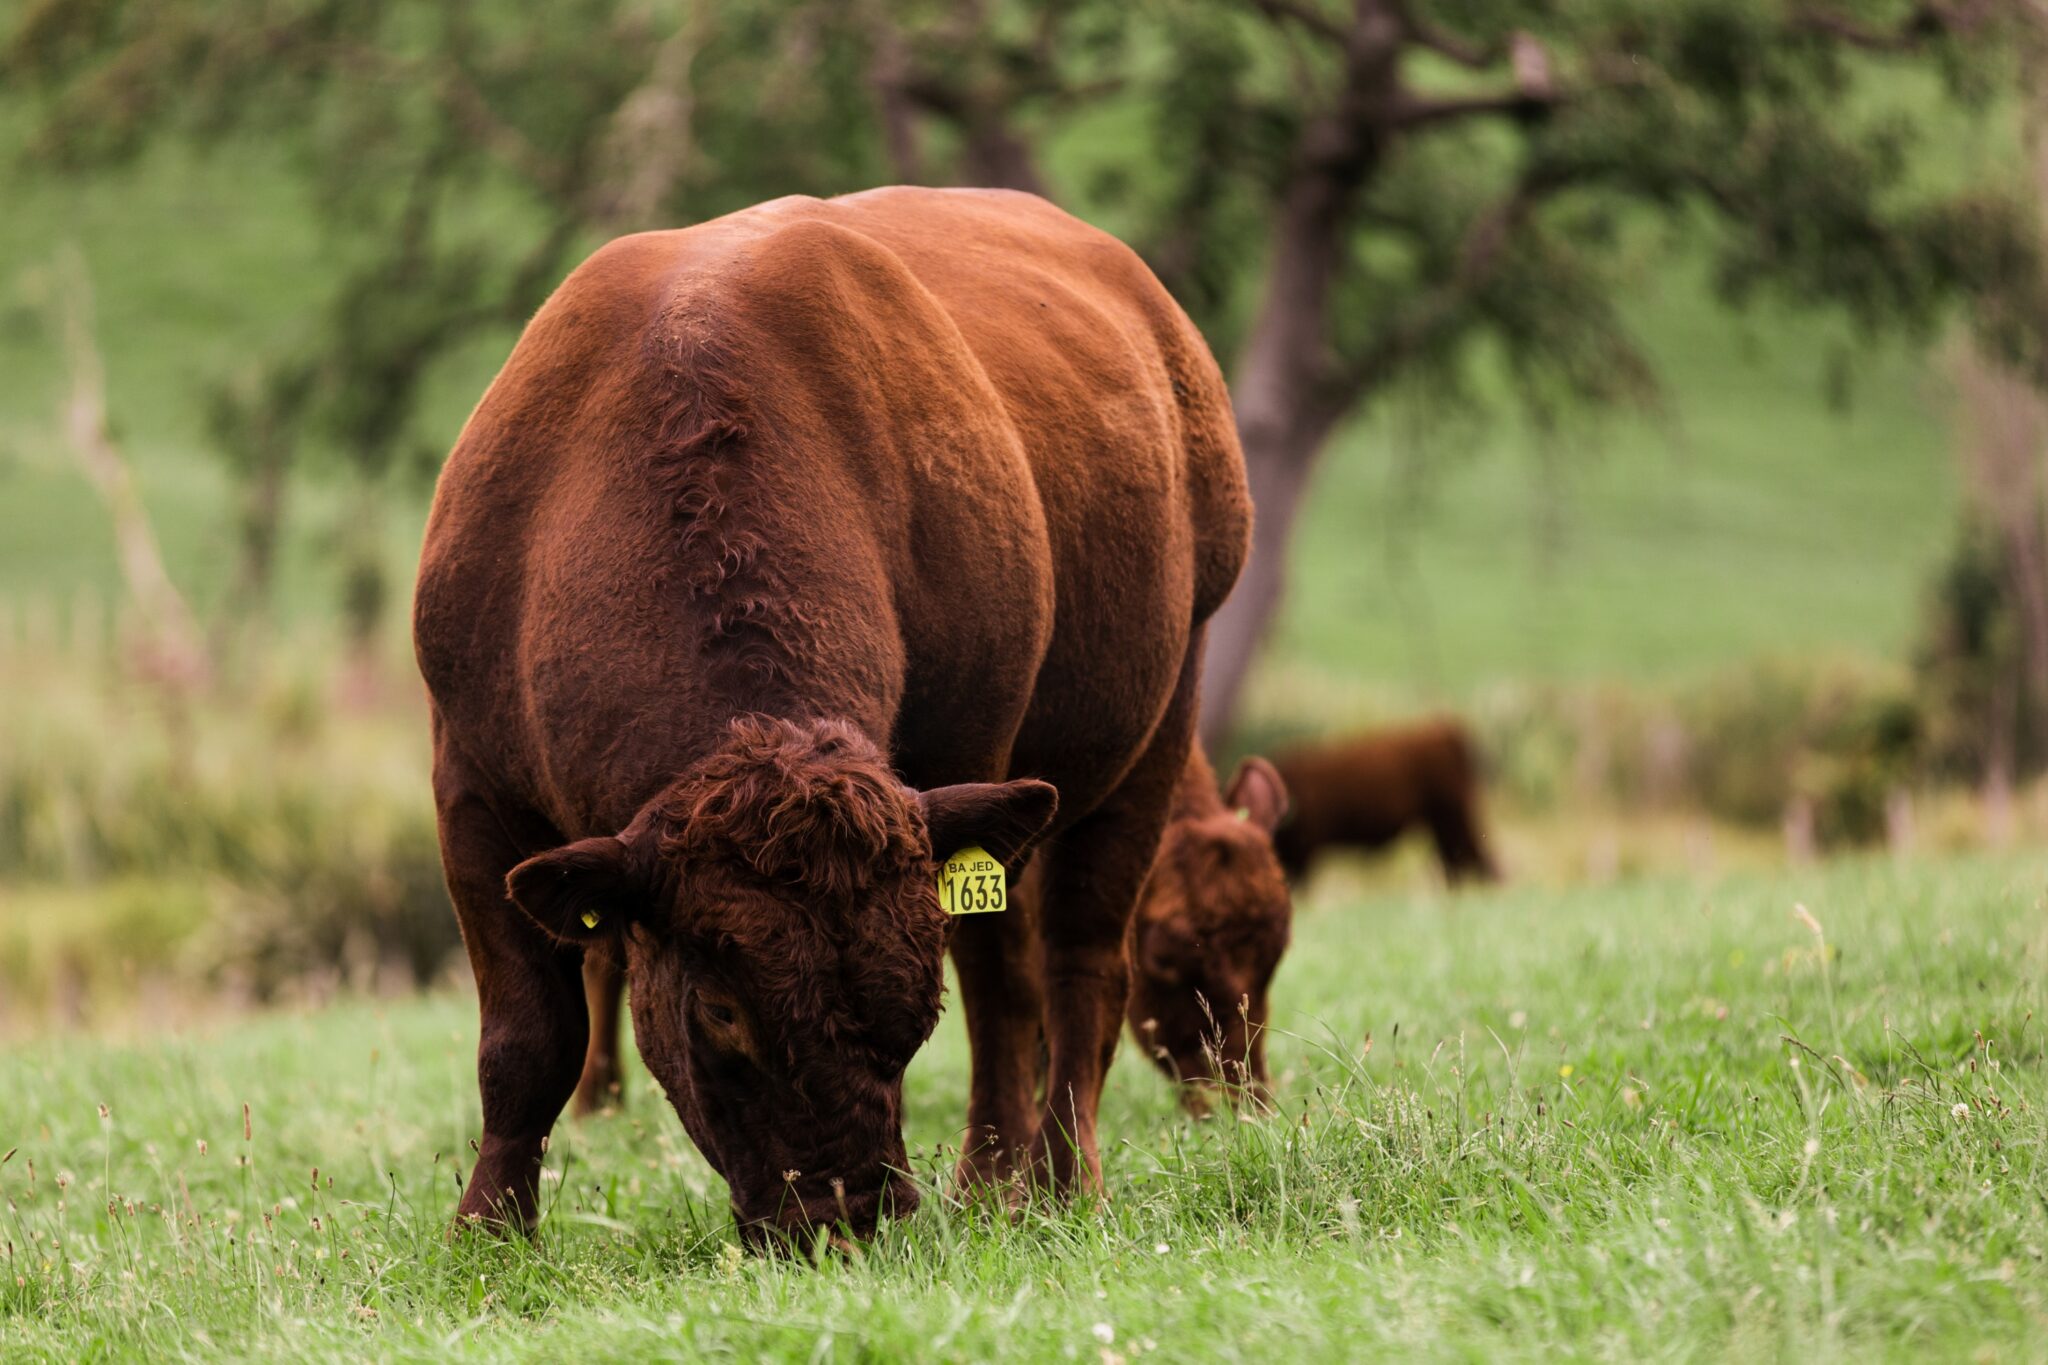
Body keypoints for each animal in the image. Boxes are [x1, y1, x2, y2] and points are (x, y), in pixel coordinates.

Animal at [411, 187, 1250, 1249]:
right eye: (721, 1010)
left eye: (911, 1011)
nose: (848, 1208)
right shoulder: (469, 779)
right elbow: (528, 1038)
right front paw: (490, 1230)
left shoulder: (965, 759)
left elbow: (991, 984)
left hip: (1163, 707)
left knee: (1071, 964)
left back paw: (1048, 1178)